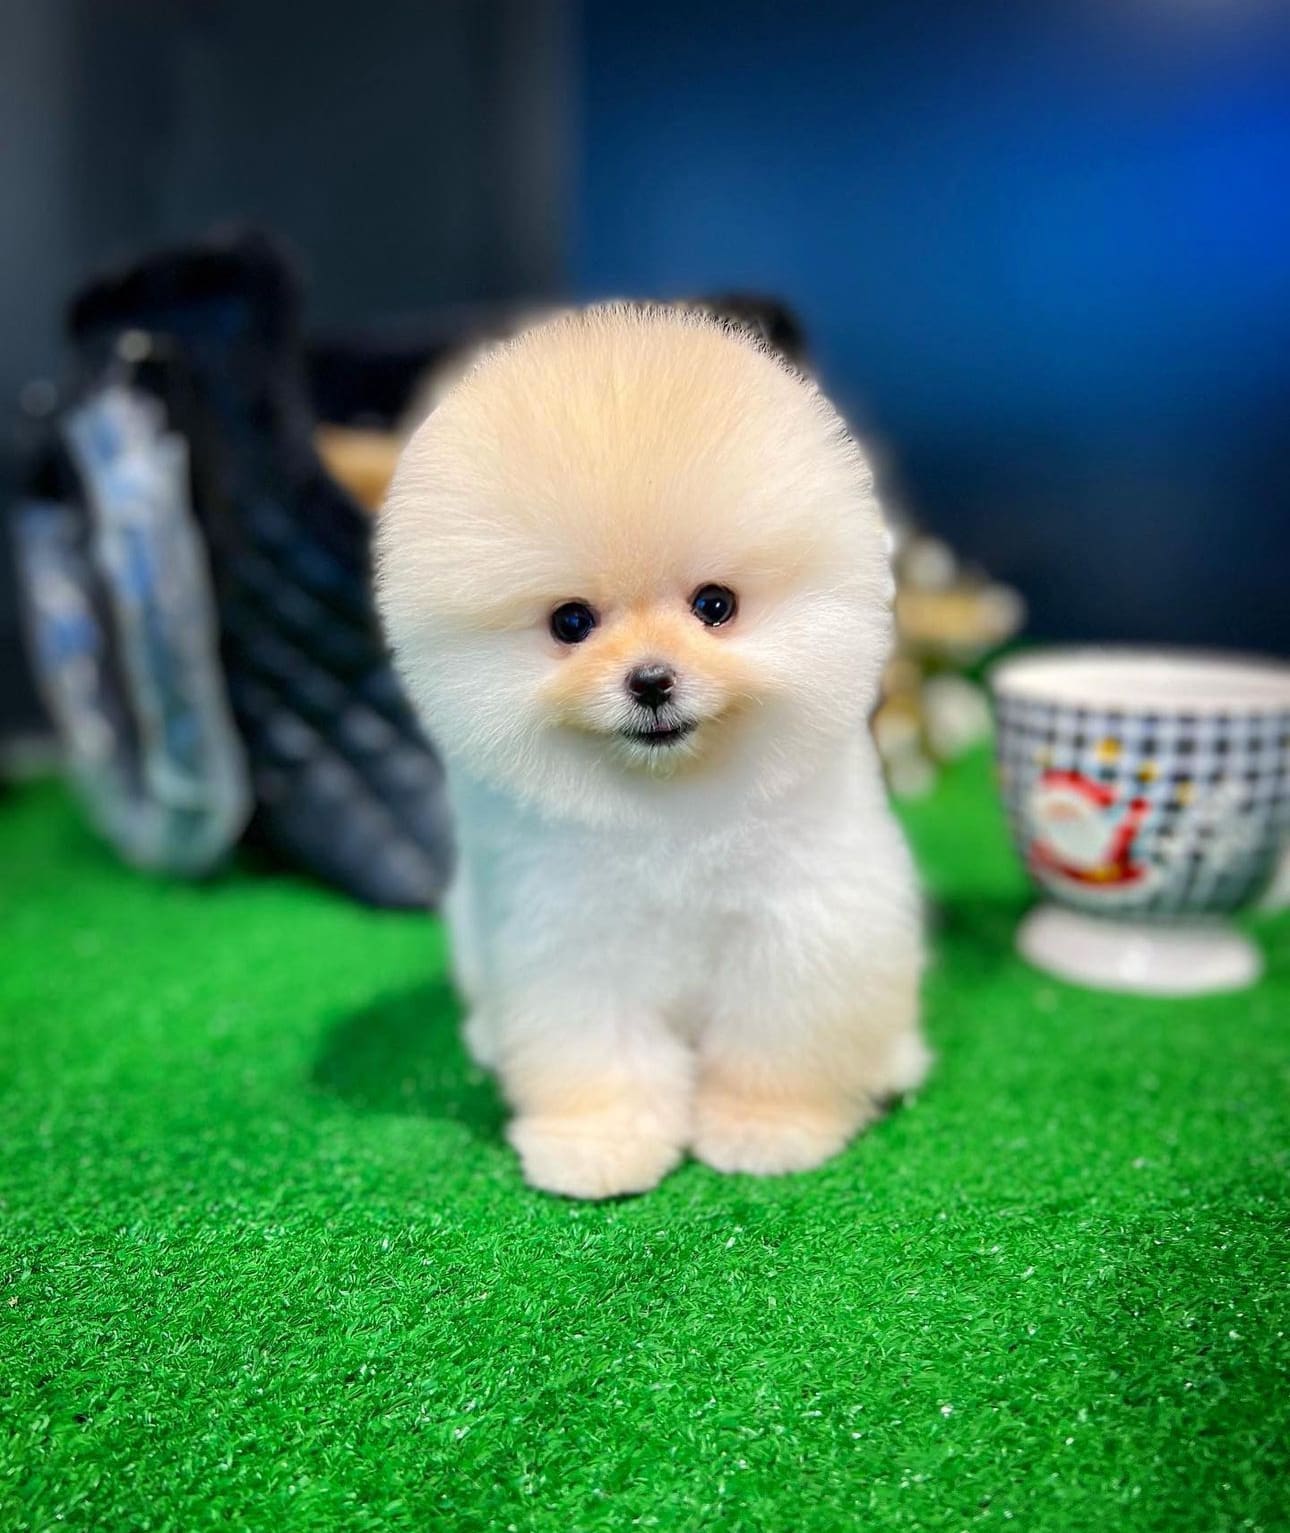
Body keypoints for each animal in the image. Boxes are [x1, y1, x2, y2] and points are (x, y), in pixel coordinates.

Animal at [376, 303, 928, 1198]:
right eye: (571, 622)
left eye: (715, 605)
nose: (651, 680)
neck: (671, 809)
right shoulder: (570, 932)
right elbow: (597, 1050)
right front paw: (601, 1143)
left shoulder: (796, 924)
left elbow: (777, 1041)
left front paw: (765, 1127)